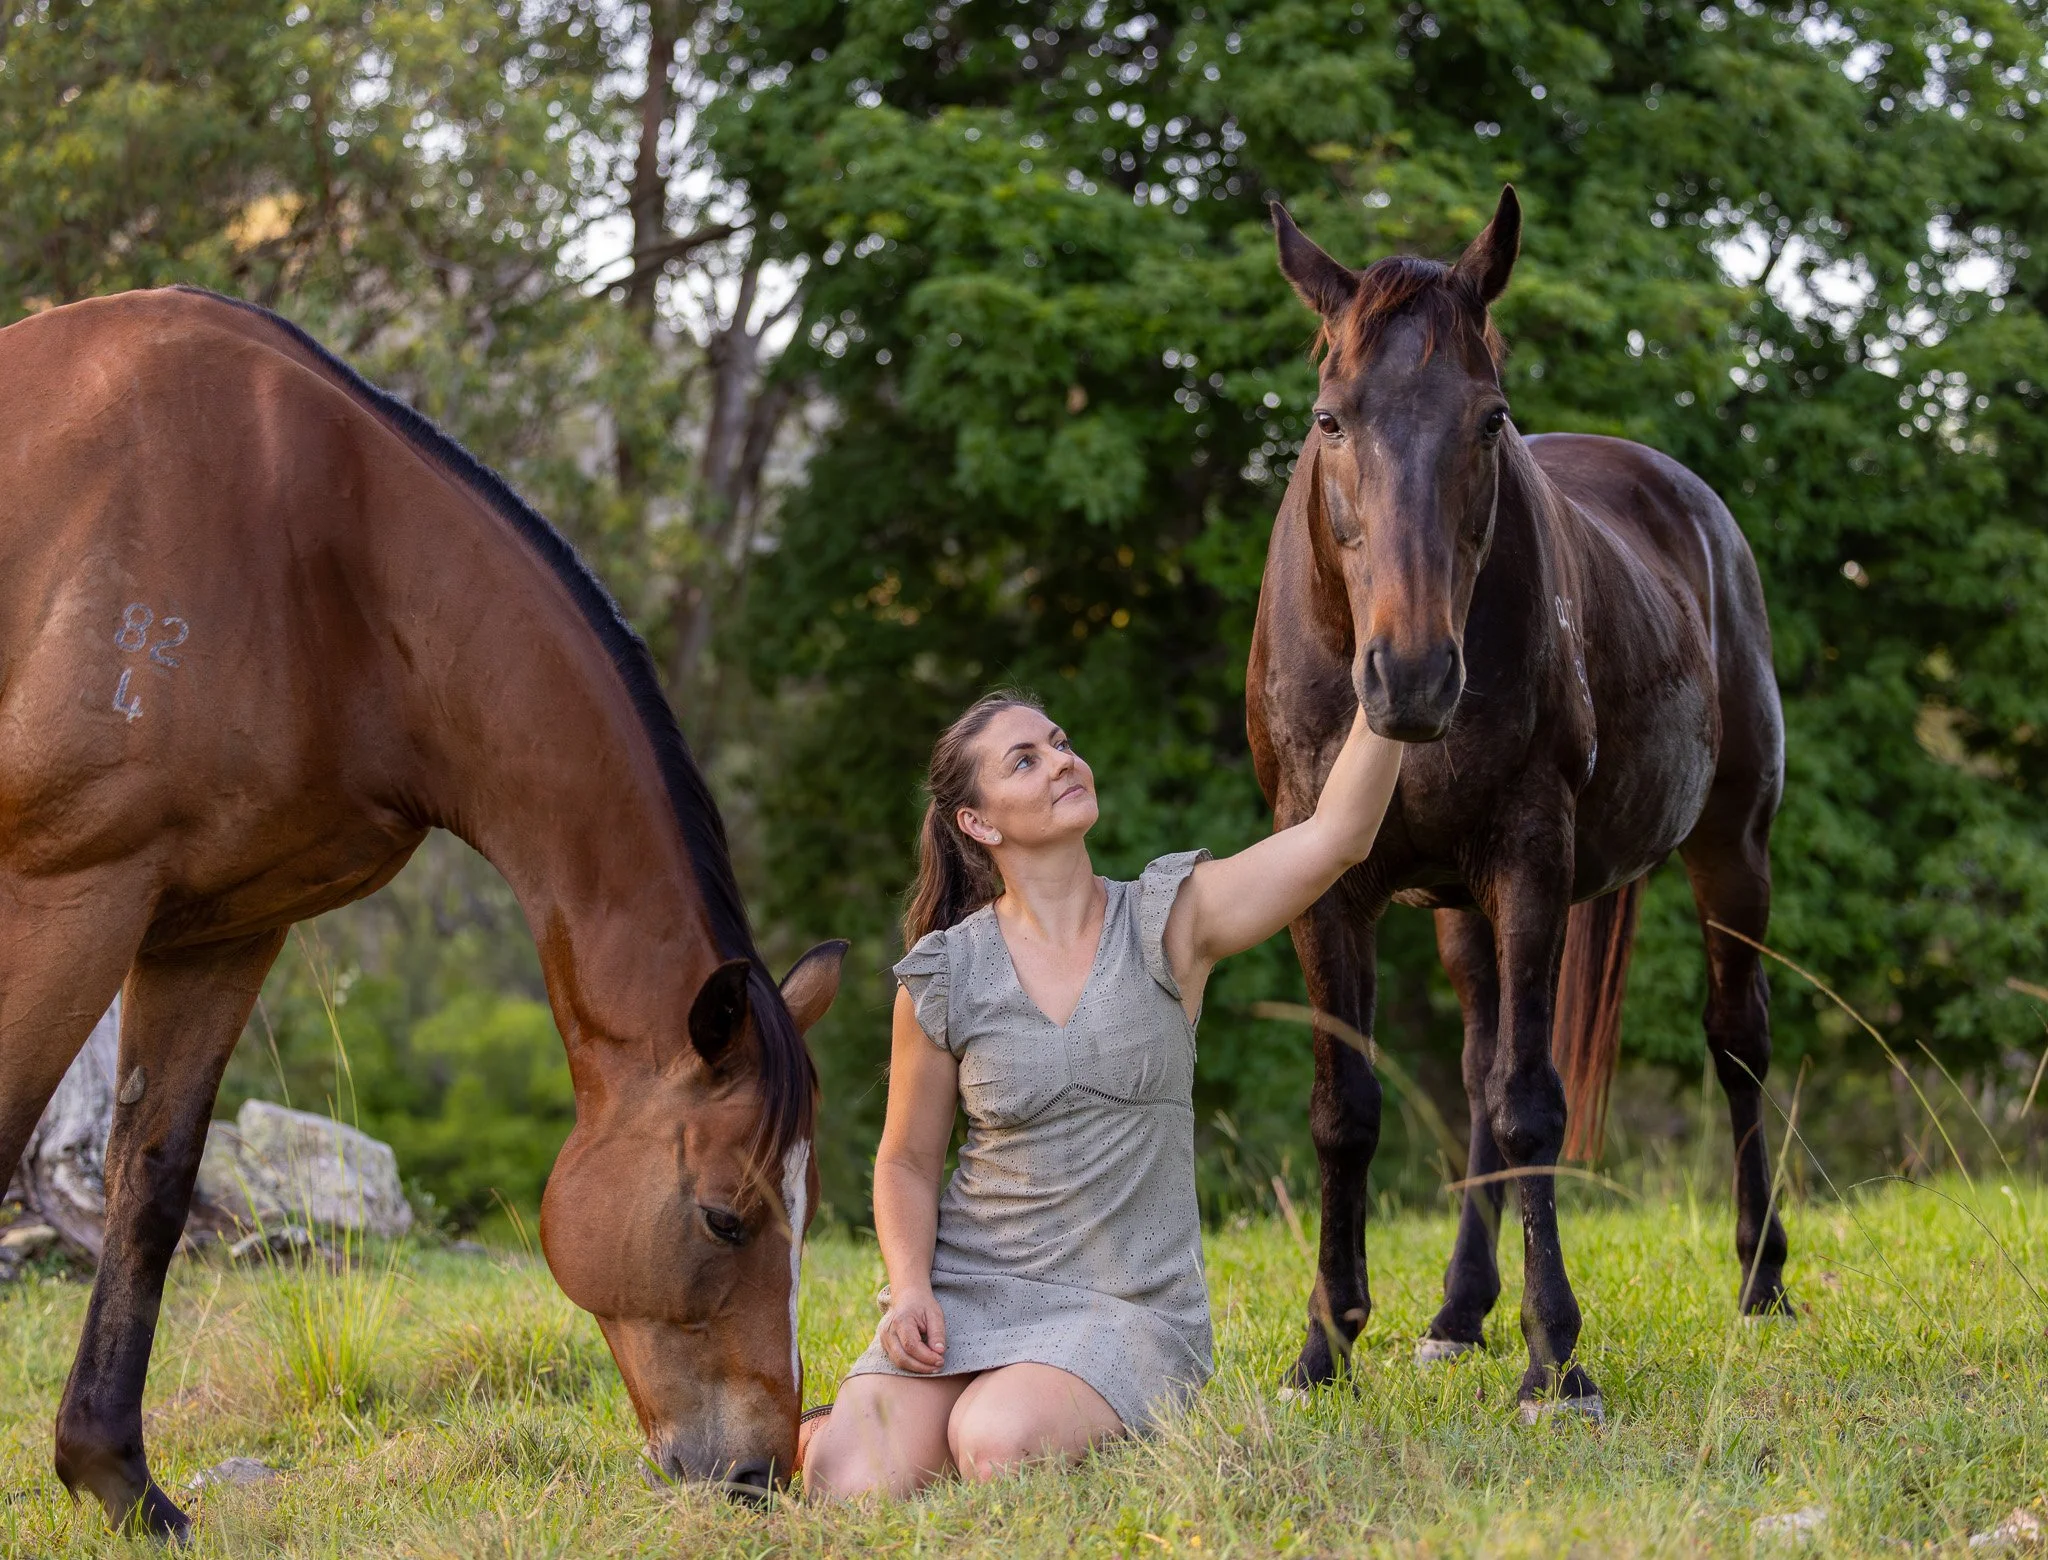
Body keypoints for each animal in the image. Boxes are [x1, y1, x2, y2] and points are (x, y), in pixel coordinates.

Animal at [0, 287, 846, 1536]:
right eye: (723, 1219)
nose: (755, 1478)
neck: (316, 559)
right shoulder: (72, 891)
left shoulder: (219, 927)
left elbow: (150, 1186)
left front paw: (117, 1481)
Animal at [1248, 188, 1789, 1420]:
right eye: (1329, 419)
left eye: (1488, 420)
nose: (1410, 676)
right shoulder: (1327, 887)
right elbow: (1347, 1108)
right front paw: (1323, 1349)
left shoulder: (1530, 864)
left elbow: (1531, 1103)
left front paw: (1558, 1360)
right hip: (1463, 914)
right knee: (1476, 1068)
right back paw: (1456, 1313)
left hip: (1730, 848)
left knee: (1734, 1045)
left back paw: (1760, 1279)